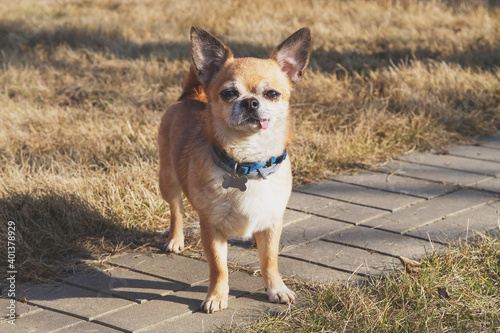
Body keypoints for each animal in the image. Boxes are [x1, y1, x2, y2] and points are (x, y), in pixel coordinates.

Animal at [158, 27, 310, 312]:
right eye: (228, 93)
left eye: (272, 94)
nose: (250, 102)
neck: (249, 163)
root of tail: (192, 95)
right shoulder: (211, 229)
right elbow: (219, 267)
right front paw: (217, 296)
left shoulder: (273, 222)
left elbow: (270, 260)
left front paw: (276, 288)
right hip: (167, 180)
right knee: (176, 209)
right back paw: (175, 238)